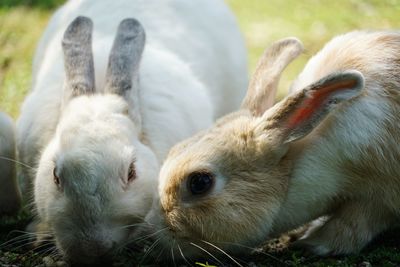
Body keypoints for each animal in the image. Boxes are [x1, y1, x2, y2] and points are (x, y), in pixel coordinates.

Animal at [145, 29, 400, 262]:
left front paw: (314, 242)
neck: (292, 168)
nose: (152, 229)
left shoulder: (378, 194)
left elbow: (354, 225)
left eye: (200, 182)